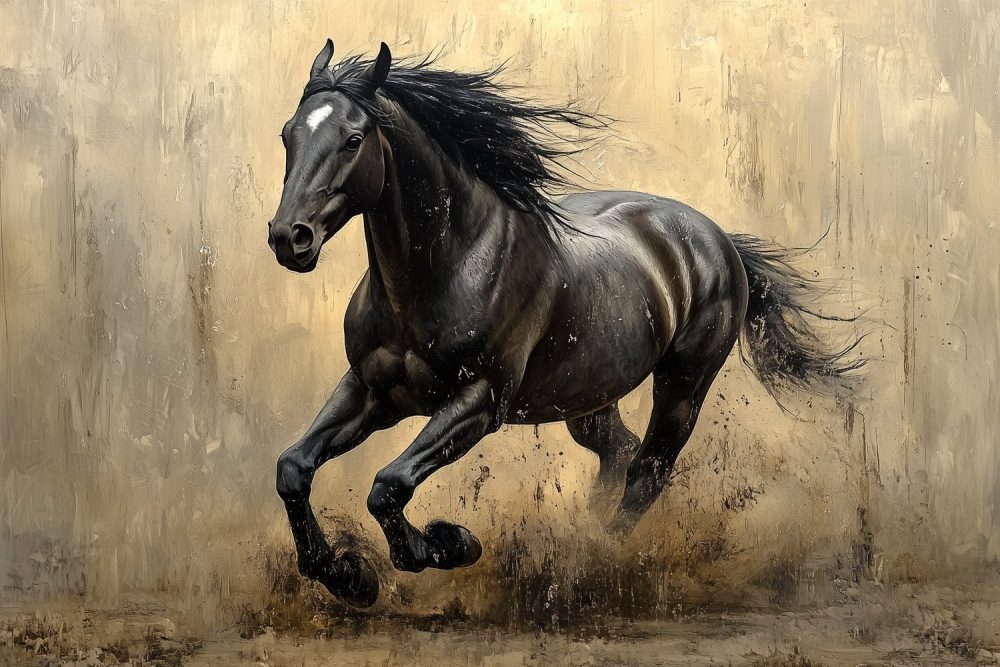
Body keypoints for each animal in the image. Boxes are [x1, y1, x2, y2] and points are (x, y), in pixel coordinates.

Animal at [266, 39, 862, 608]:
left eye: (353, 139)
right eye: (287, 134)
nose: (289, 238)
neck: (447, 266)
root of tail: (717, 238)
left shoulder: (478, 402)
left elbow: (388, 485)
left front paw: (449, 542)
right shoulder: (371, 391)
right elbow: (293, 469)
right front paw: (347, 577)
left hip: (684, 385)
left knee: (647, 471)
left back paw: (593, 558)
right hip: (587, 397)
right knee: (618, 452)